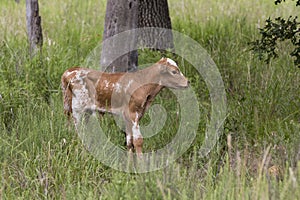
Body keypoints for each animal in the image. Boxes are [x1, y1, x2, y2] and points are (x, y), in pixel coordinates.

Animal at [61, 57, 190, 157]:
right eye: (174, 71)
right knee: (79, 131)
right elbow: (138, 141)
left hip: (77, 108)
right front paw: (141, 166)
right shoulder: (133, 113)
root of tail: (68, 72)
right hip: (78, 109)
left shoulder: (129, 116)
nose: (188, 82)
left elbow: (129, 141)